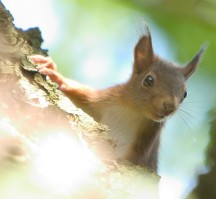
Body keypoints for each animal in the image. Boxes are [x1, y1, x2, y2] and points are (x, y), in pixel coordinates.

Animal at [29, 26, 206, 173]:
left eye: (185, 94)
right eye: (148, 80)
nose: (169, 106)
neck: (133, 110)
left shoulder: (145, 142)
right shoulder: (105, 99)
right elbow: (83, 97)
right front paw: (54, 72)